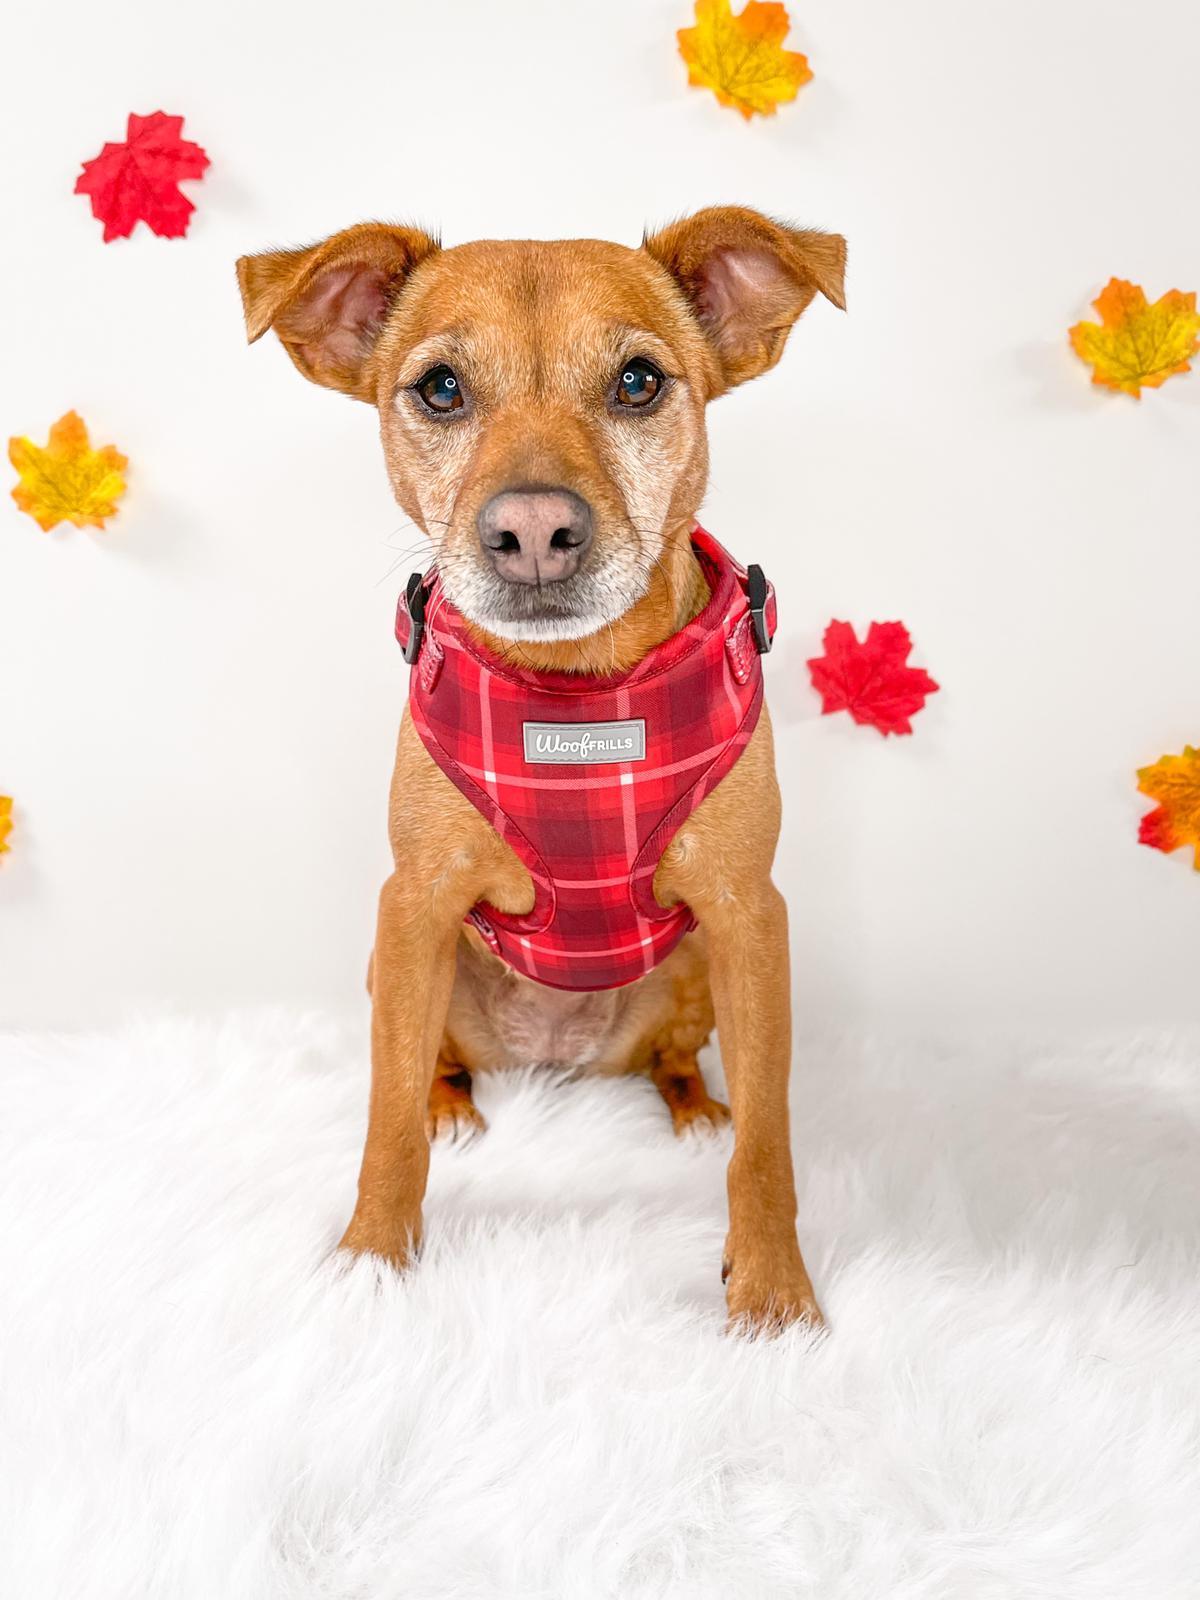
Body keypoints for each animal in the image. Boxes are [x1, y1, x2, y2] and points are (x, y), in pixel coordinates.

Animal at [236, 212, 844, 1337]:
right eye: (439, 389)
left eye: (639, 382)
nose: (530, 533)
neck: (575, 696)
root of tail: (554, 1062)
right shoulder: (416, 904)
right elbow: (386, 1117)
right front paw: (370, 1258)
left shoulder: (750, 917)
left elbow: (769, 1146)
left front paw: (775, 1293)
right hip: (400, 967)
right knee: (431, 1067)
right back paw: (455, 1103)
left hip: (693, 972)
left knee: (678, 1067)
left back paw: (694, 1107)